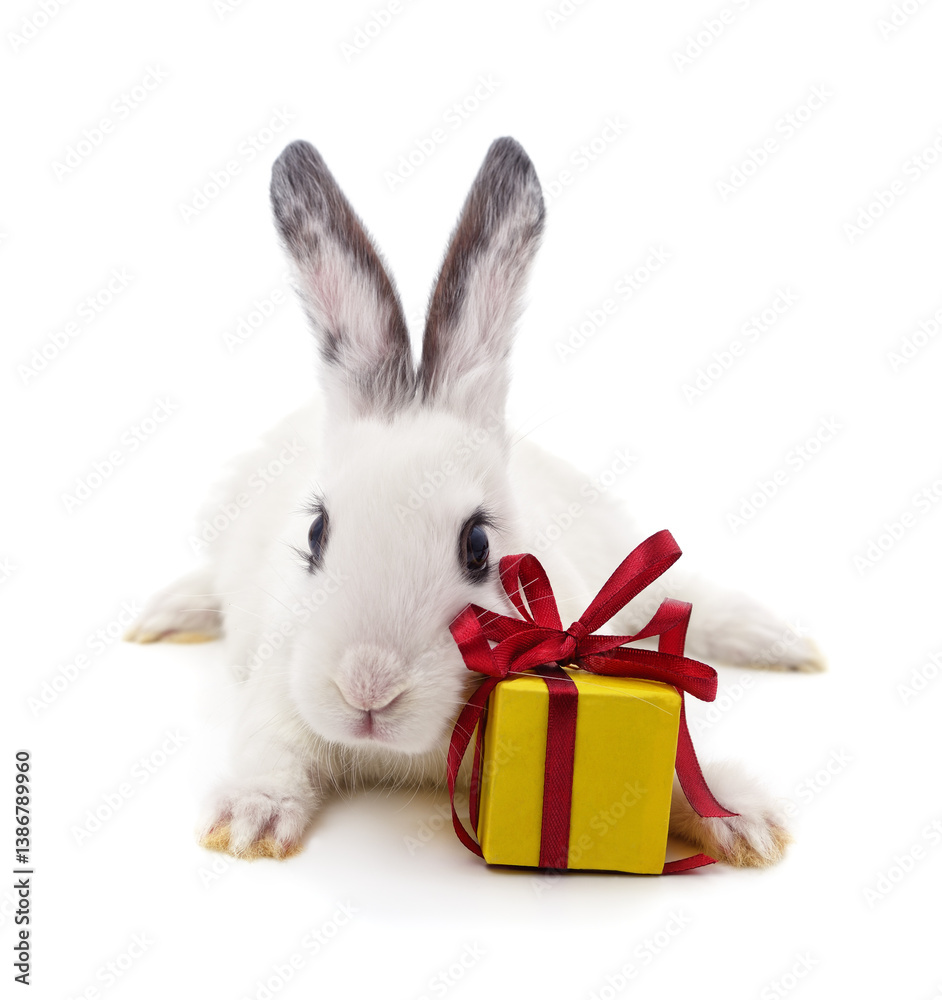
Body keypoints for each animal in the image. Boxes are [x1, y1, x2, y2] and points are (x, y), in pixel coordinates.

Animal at [126, 137, 824, 868]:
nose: (367, 686)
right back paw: (168, 615)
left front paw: (744, 822)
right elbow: (273, 750)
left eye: (478, 545)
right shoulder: (279, 689)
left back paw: (782, 643)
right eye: (316, 534)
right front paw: (247, 824)